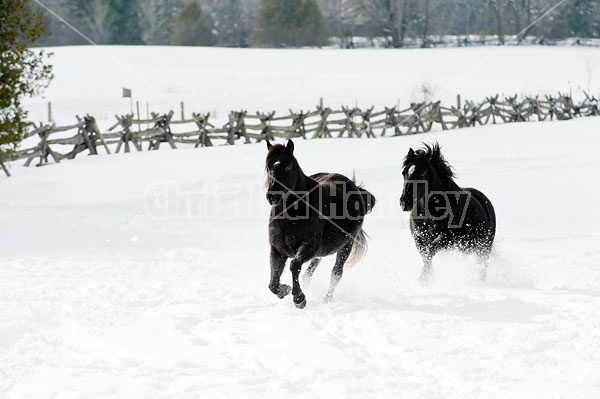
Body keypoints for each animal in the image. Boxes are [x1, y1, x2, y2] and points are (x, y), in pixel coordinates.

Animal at [264, 141, 372, 310]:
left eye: (288, 166)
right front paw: (285, 290)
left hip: (346, 245)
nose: (273, 196)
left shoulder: (308, 246)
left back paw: (327, 299)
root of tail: (353, 186)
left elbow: (294, 265)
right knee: (308, 273)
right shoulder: (277, 249)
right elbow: (273, 283)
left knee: (336, 273)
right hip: (321, 251)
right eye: (268, 166)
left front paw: (299, 299)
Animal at [400, 143, 494, 282]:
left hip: (484, 246)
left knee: (482, 265)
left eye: (422, 173)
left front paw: (424, 279)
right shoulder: (418, 237)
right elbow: (426, 257)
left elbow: (430, 252)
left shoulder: (447, 238)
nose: (404, 202)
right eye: (404, 172)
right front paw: (425, 279)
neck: (427, 215)